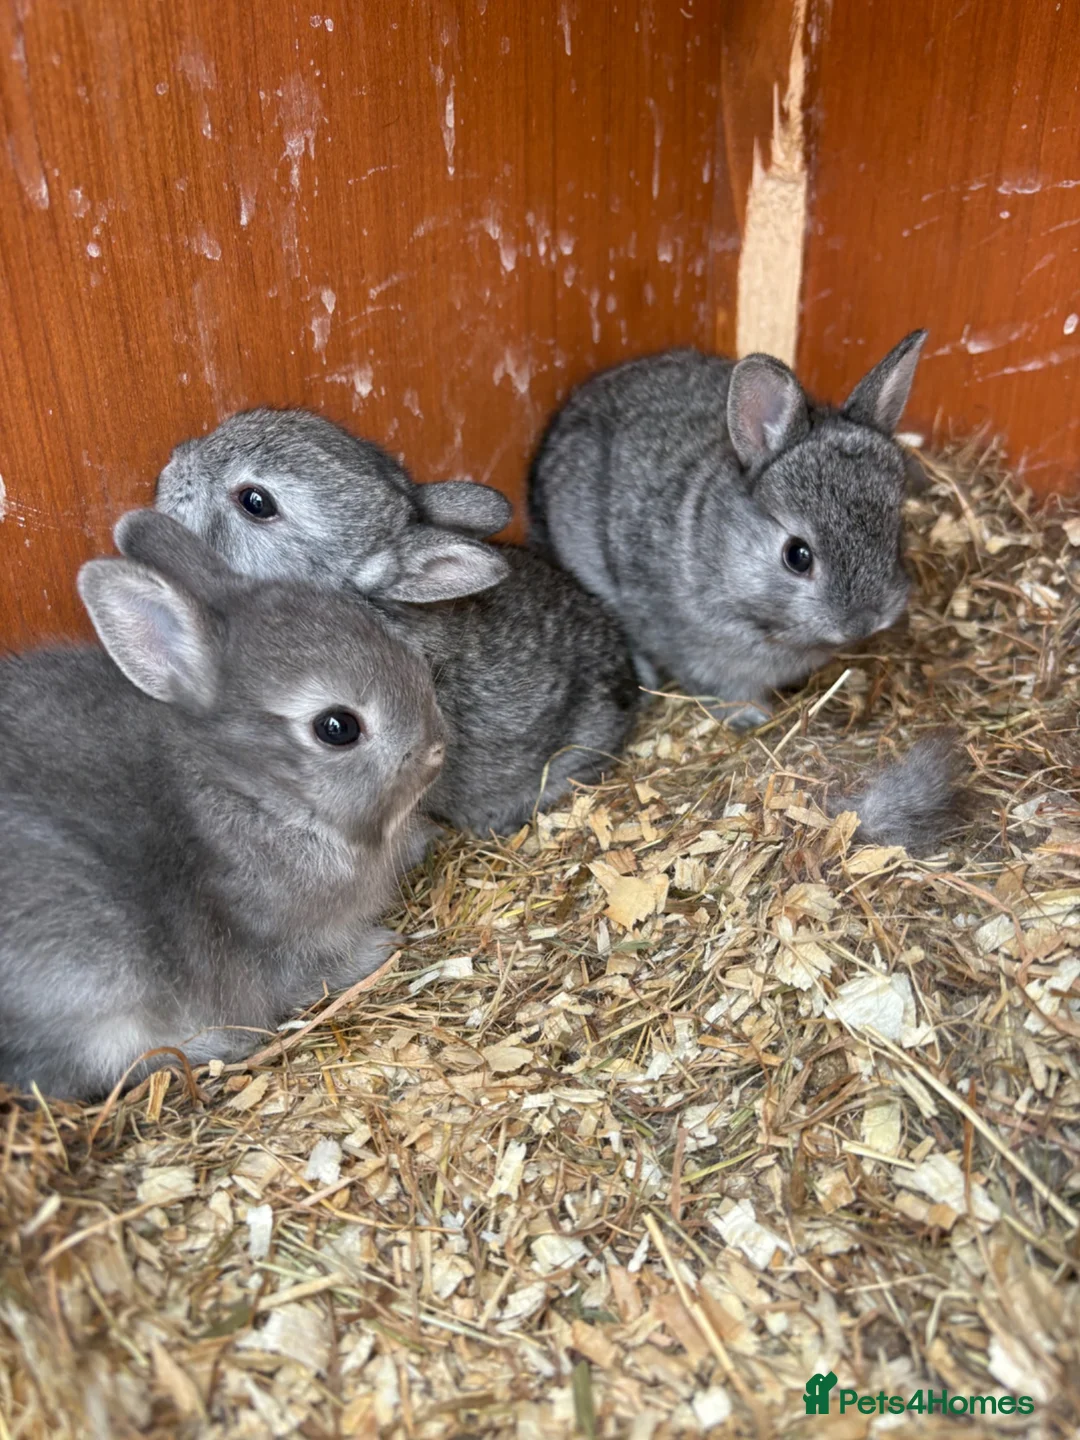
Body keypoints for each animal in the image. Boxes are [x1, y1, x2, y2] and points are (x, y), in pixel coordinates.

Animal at [0, 510, 445, 1100]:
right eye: (337, 727)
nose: (437, 749)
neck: (245, 785)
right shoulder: (277, 938)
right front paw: (381, 947)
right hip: (98, 978)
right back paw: (217, 1045)